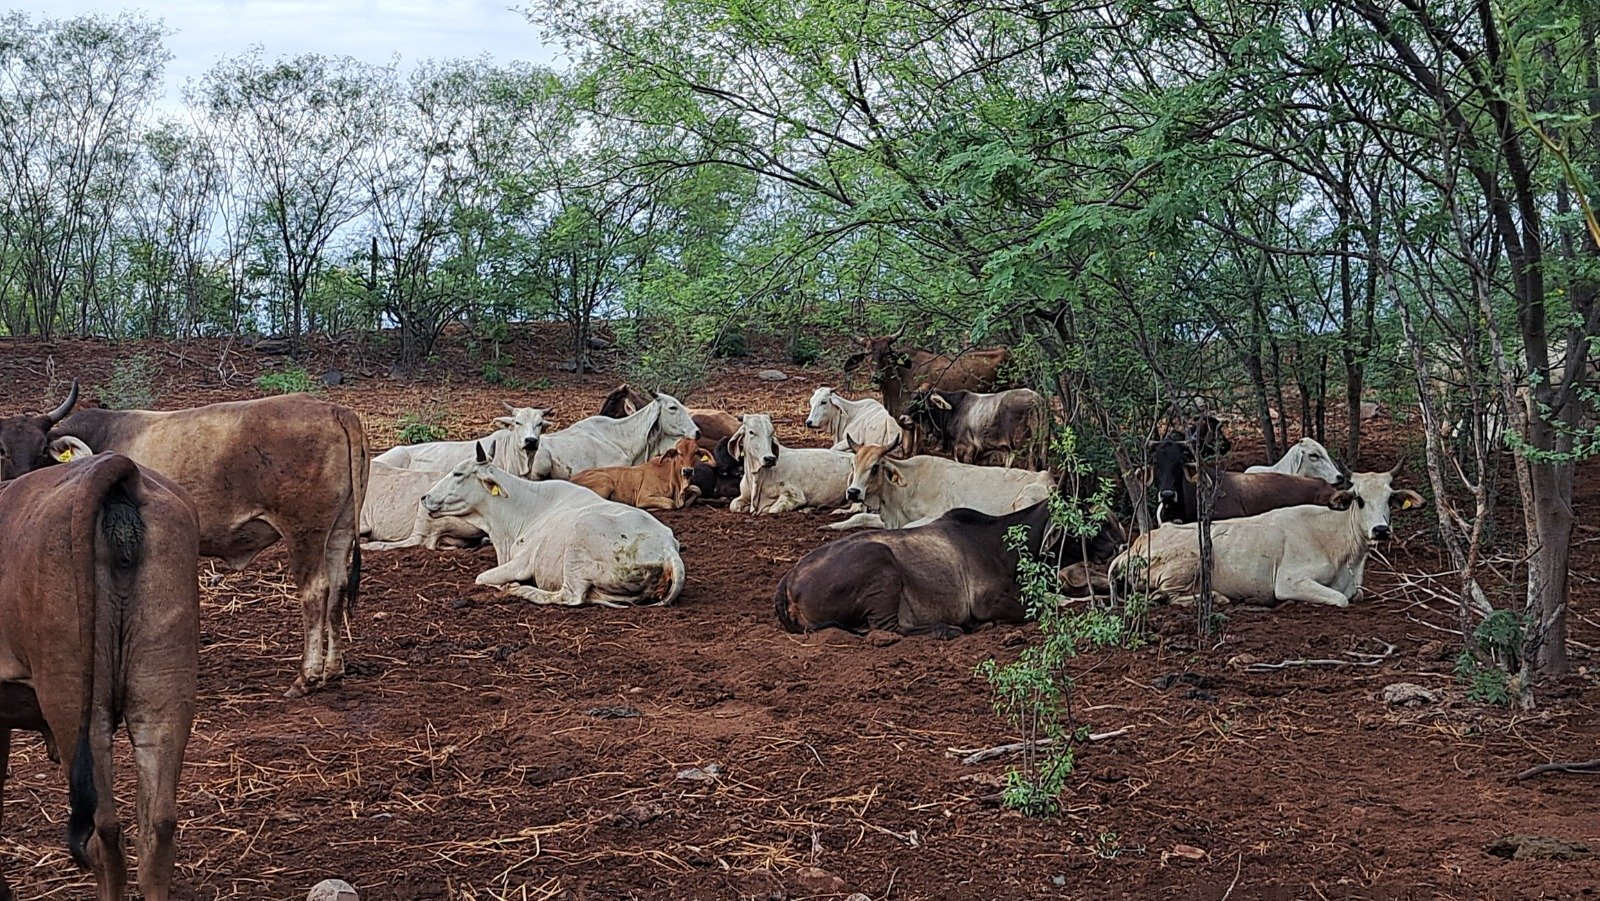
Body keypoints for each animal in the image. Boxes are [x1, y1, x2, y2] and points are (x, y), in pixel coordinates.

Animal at [0, 382, 366, 697]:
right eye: (2, 450)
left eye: (40, 452)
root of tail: (332, 409)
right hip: (339, 531)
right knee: (337, 587)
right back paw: (333, 669)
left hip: (304, 533)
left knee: (316, 592)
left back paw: (307, 676)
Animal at [422, 448, 684, 611]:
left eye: (458, 473)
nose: (425, 497)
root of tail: (667, 550)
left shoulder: (522, 563)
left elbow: (482, 578)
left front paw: (506, 585)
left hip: (578, 546)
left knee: (570, 597)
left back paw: (521, 590)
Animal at [569, 438, 707, 512]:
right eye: (678, 453)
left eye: (696, 452)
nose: (687, 471)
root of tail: (571, 479)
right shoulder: (643, 497)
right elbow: (670, 503)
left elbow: (698, 490)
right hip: (606, 482)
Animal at [774, 496, 1126, 636]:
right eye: (1092, 523)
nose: (1119, 545)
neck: (1005, 546)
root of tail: (789, 579)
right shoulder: (987, 601)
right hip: (880, 561)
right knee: (887, 630)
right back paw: (948, 629)